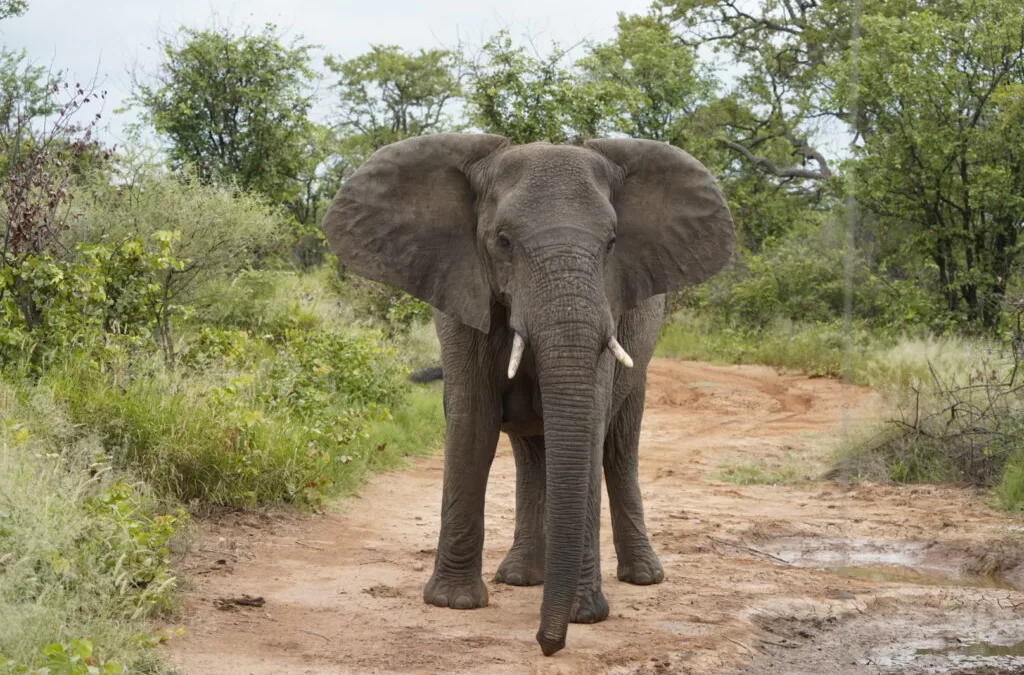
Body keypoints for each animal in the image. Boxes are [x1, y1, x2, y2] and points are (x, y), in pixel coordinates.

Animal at [323, 134, 733, 655]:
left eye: (611, 244)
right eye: (502, 241)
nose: (547, 644)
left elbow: (589, 429)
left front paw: (584, 615)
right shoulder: (462, 291)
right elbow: (472, 424)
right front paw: (454, 603)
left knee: (619, 449)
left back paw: (642, 577)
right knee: (533, 451)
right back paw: (521, 578)